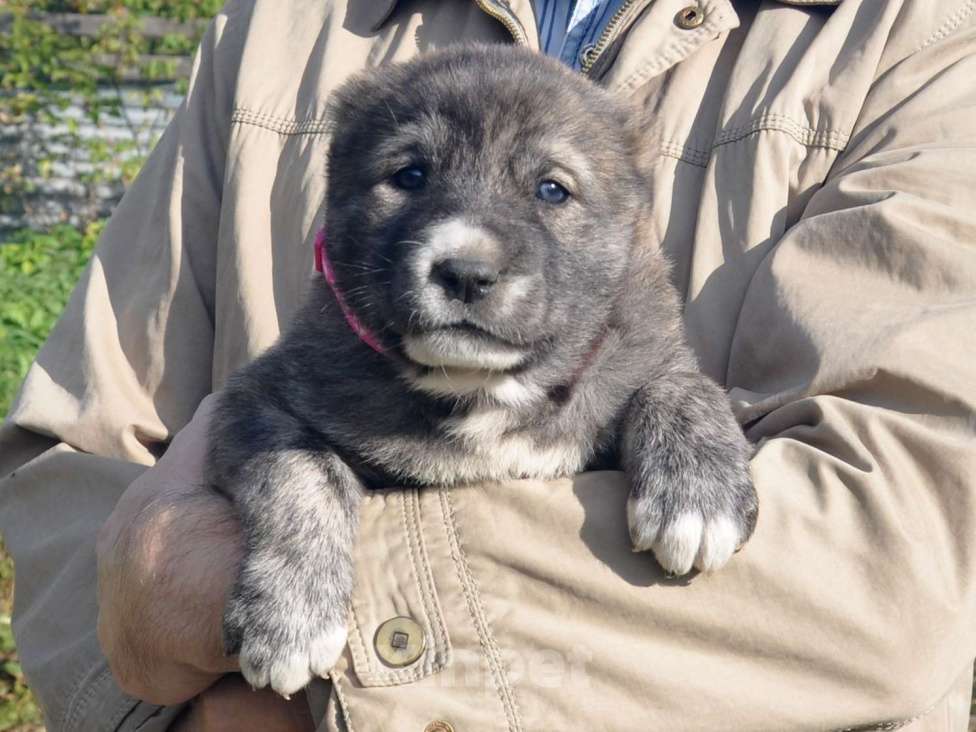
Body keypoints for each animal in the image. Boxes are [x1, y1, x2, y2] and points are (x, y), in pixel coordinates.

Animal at [206, 44, 760, 696]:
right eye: (410, 175)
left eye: (552, 189)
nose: (466, 273)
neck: (484, 387)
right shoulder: (261, 394)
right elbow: (299, 472)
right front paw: (289, 615)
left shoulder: (640, 346)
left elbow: (681, 383)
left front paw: (696, 496)